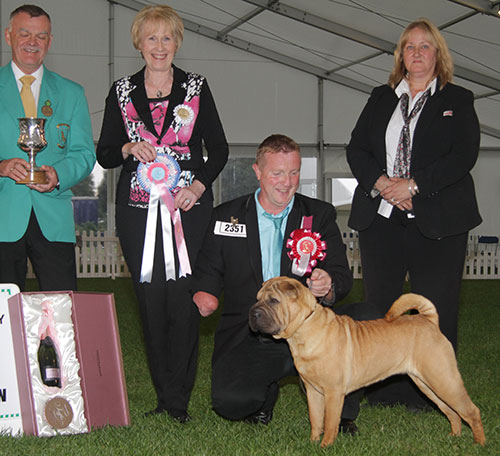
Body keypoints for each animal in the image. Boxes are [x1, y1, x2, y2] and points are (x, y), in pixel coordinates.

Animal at [249, 276, 484, 448]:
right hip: (427, 384)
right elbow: (316, 420)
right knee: (452, 411)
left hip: (444, 379)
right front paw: (313, 443)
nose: (252, 313)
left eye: (273, 301)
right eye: (257, 298)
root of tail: (429, 322)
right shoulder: (314, 392)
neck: (305, 329)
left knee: (471, 410)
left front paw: (325, 447)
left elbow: (330, 422)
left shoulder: (333, 393)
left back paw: (478, 444)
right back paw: (454, 436)